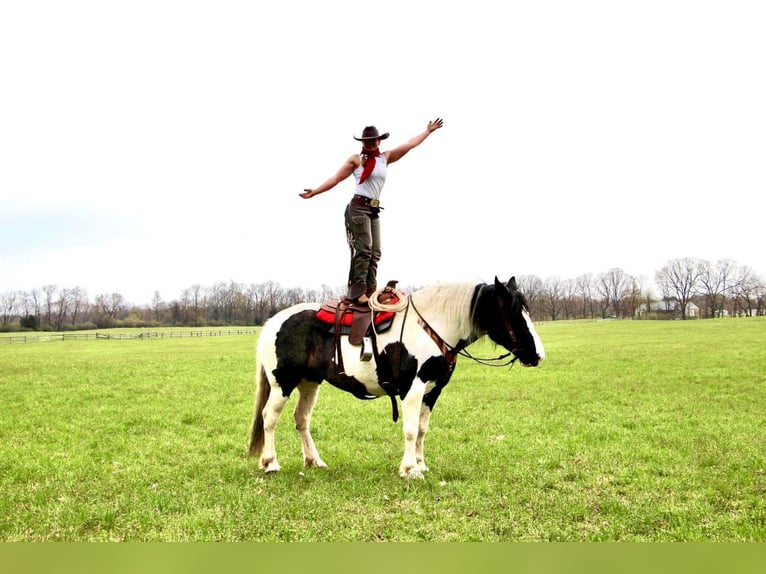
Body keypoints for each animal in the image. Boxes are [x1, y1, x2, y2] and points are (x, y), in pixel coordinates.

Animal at [249, 276, 544, 480]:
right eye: (514, 313)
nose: (538, 354)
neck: (431, 327)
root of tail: (273, 322)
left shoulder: (432, 391)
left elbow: (422, 429)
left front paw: (421, 463)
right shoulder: (412, 389)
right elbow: (410, 429)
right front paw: (410, 469)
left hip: (309, 383)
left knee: (301, 419)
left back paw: (313, 461)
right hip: (282, 383)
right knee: (269, 418)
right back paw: (270, 463)